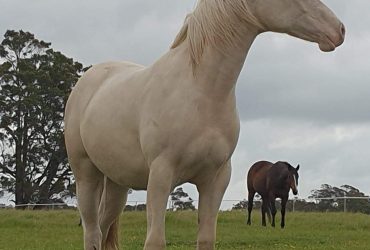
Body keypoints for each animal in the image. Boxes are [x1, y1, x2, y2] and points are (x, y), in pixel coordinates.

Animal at [63, 0, 344, 250]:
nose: (338, 31)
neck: (200, 89)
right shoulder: (161, 175)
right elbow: (155, 241)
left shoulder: (215, 180)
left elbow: (207, 238)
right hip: (86, 176)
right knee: (92, 232)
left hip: (117, 185)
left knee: (101, 229)